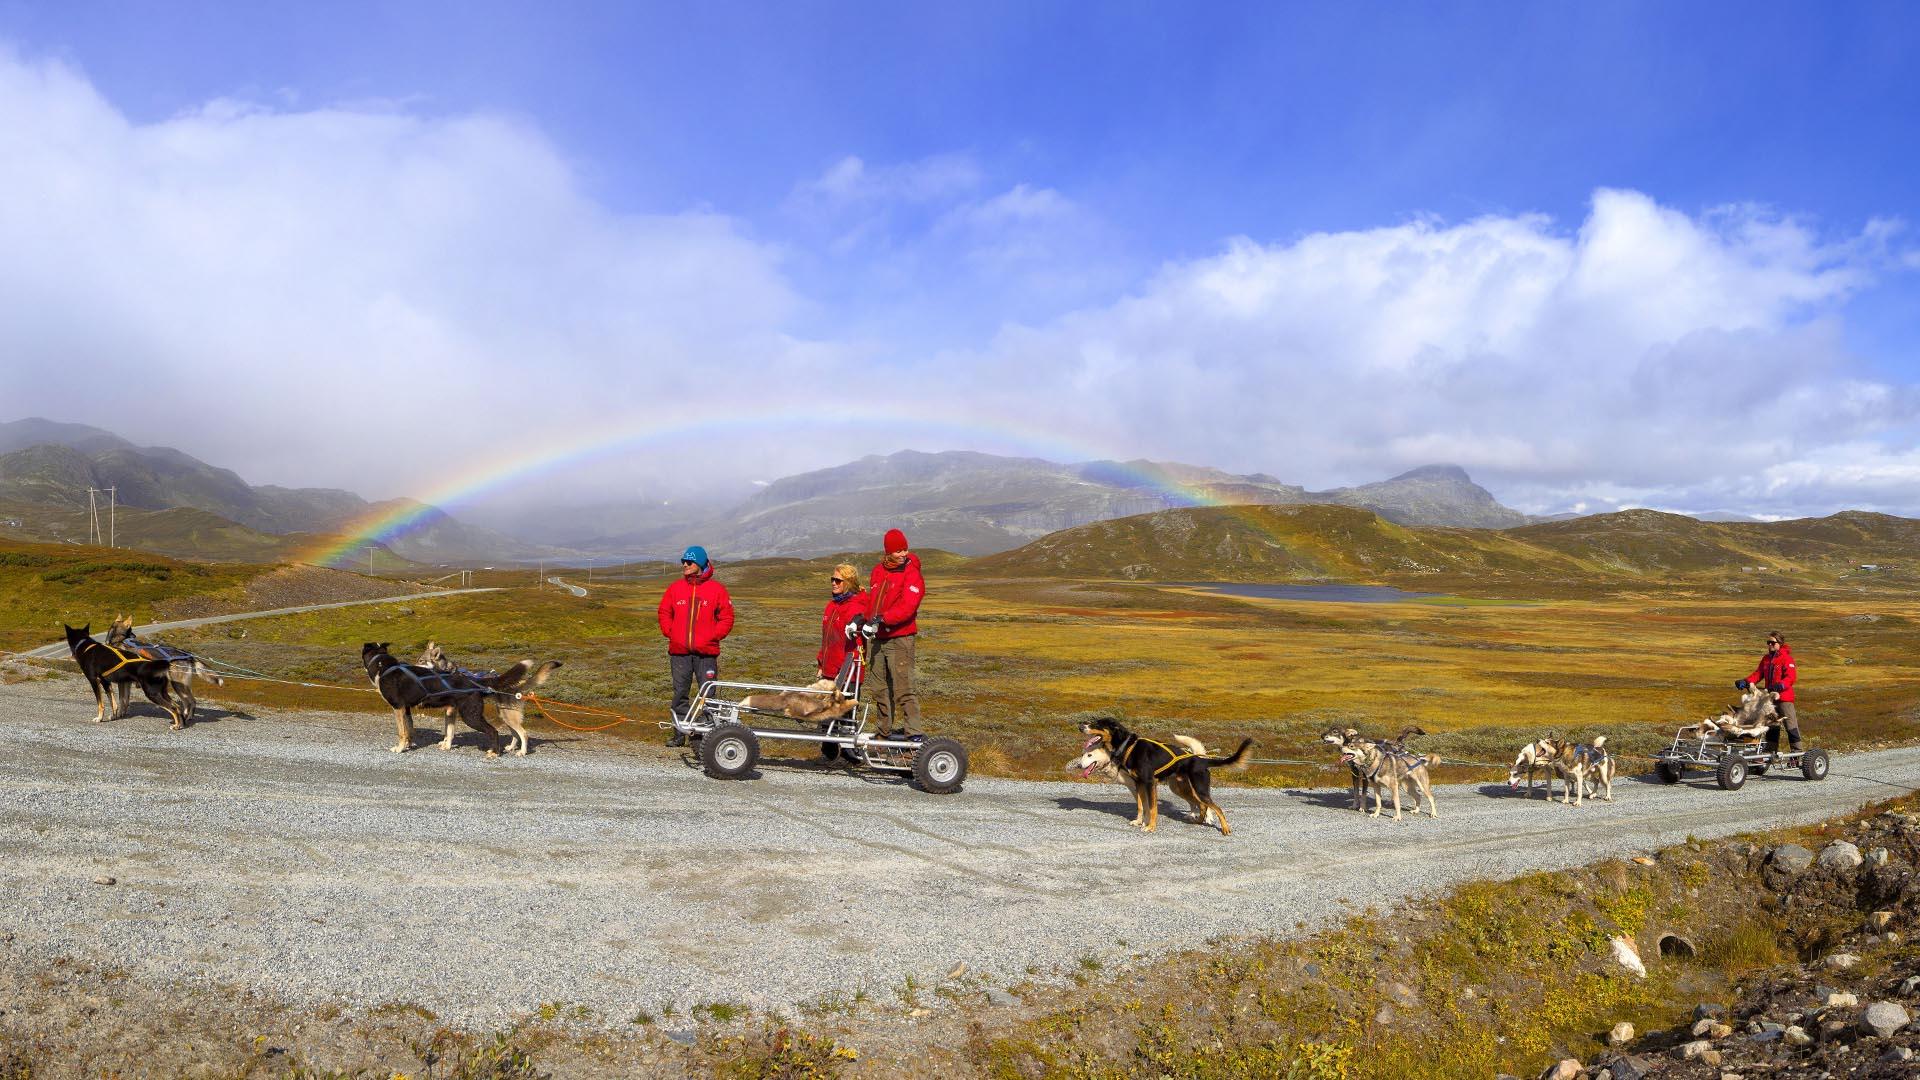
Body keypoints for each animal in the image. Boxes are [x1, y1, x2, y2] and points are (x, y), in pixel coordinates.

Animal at [362, 641, 503, 753]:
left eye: (421, 661)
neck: (384, 667)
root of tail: (474, 684)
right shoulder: (406, 709)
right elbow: (410, 729)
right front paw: (409, 744)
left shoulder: (398, 707)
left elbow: (402, 732)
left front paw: (400, 748)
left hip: (470, 716)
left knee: (493, 731)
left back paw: (494, 752)